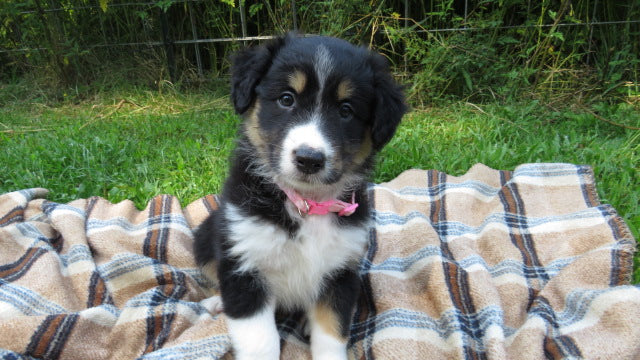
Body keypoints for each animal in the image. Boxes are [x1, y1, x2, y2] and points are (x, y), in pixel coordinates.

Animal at [192, 33, 408, 360]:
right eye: (286, 99)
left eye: (346, 110)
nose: (309, 159)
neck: (307, 203)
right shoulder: (244, 263)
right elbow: (260, 341)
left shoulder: (340, 272)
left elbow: (332, 333)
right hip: (207, 234)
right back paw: (217, 302)